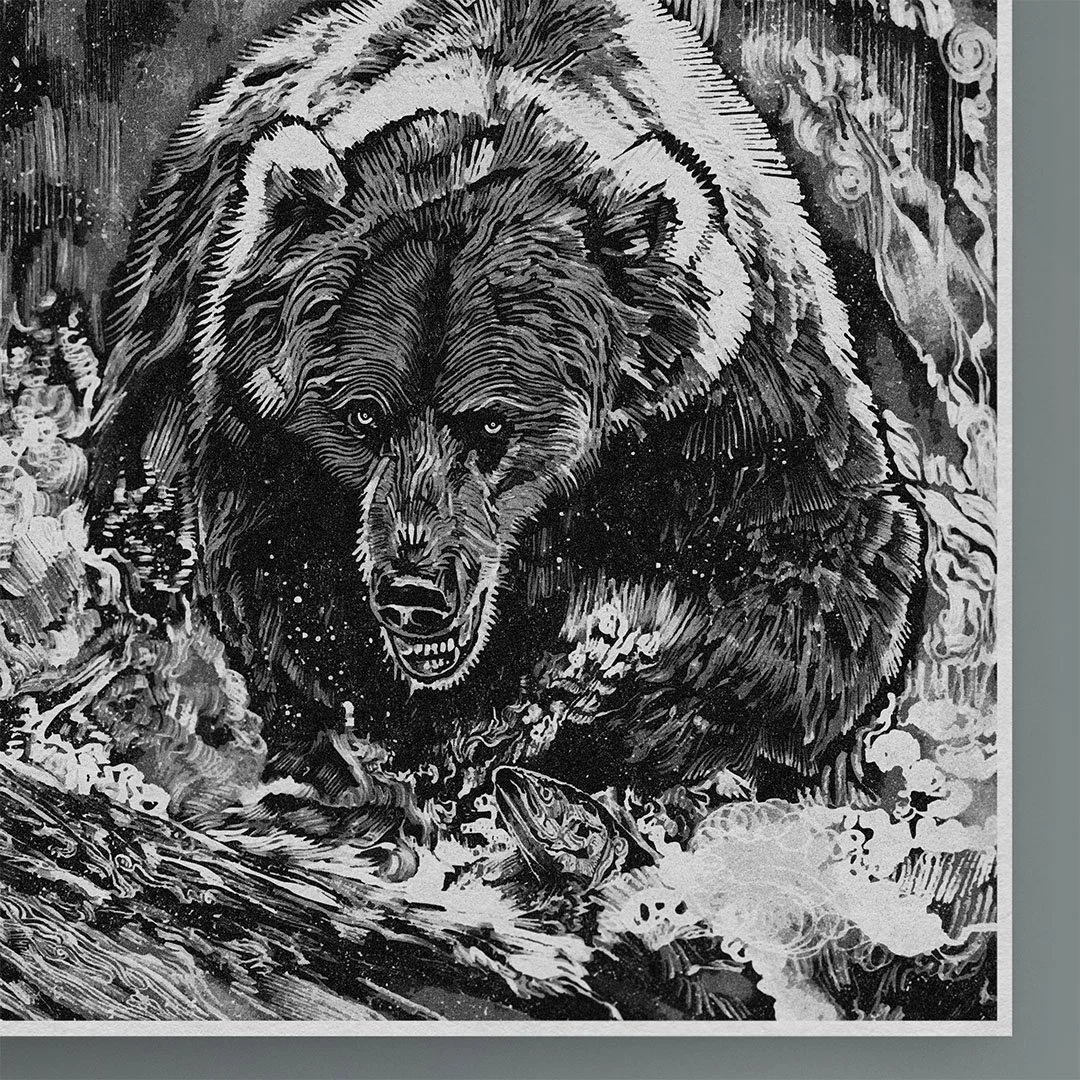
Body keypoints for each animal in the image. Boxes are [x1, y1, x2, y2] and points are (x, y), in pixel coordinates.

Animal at [90, 0, 924, 813]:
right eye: (364, 416)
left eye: (492, 422)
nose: (415, 593)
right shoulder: (259, 416)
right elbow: (278, 577)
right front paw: (420, 733)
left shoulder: (731, 411)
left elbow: (824, 576)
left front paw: (579, 704)